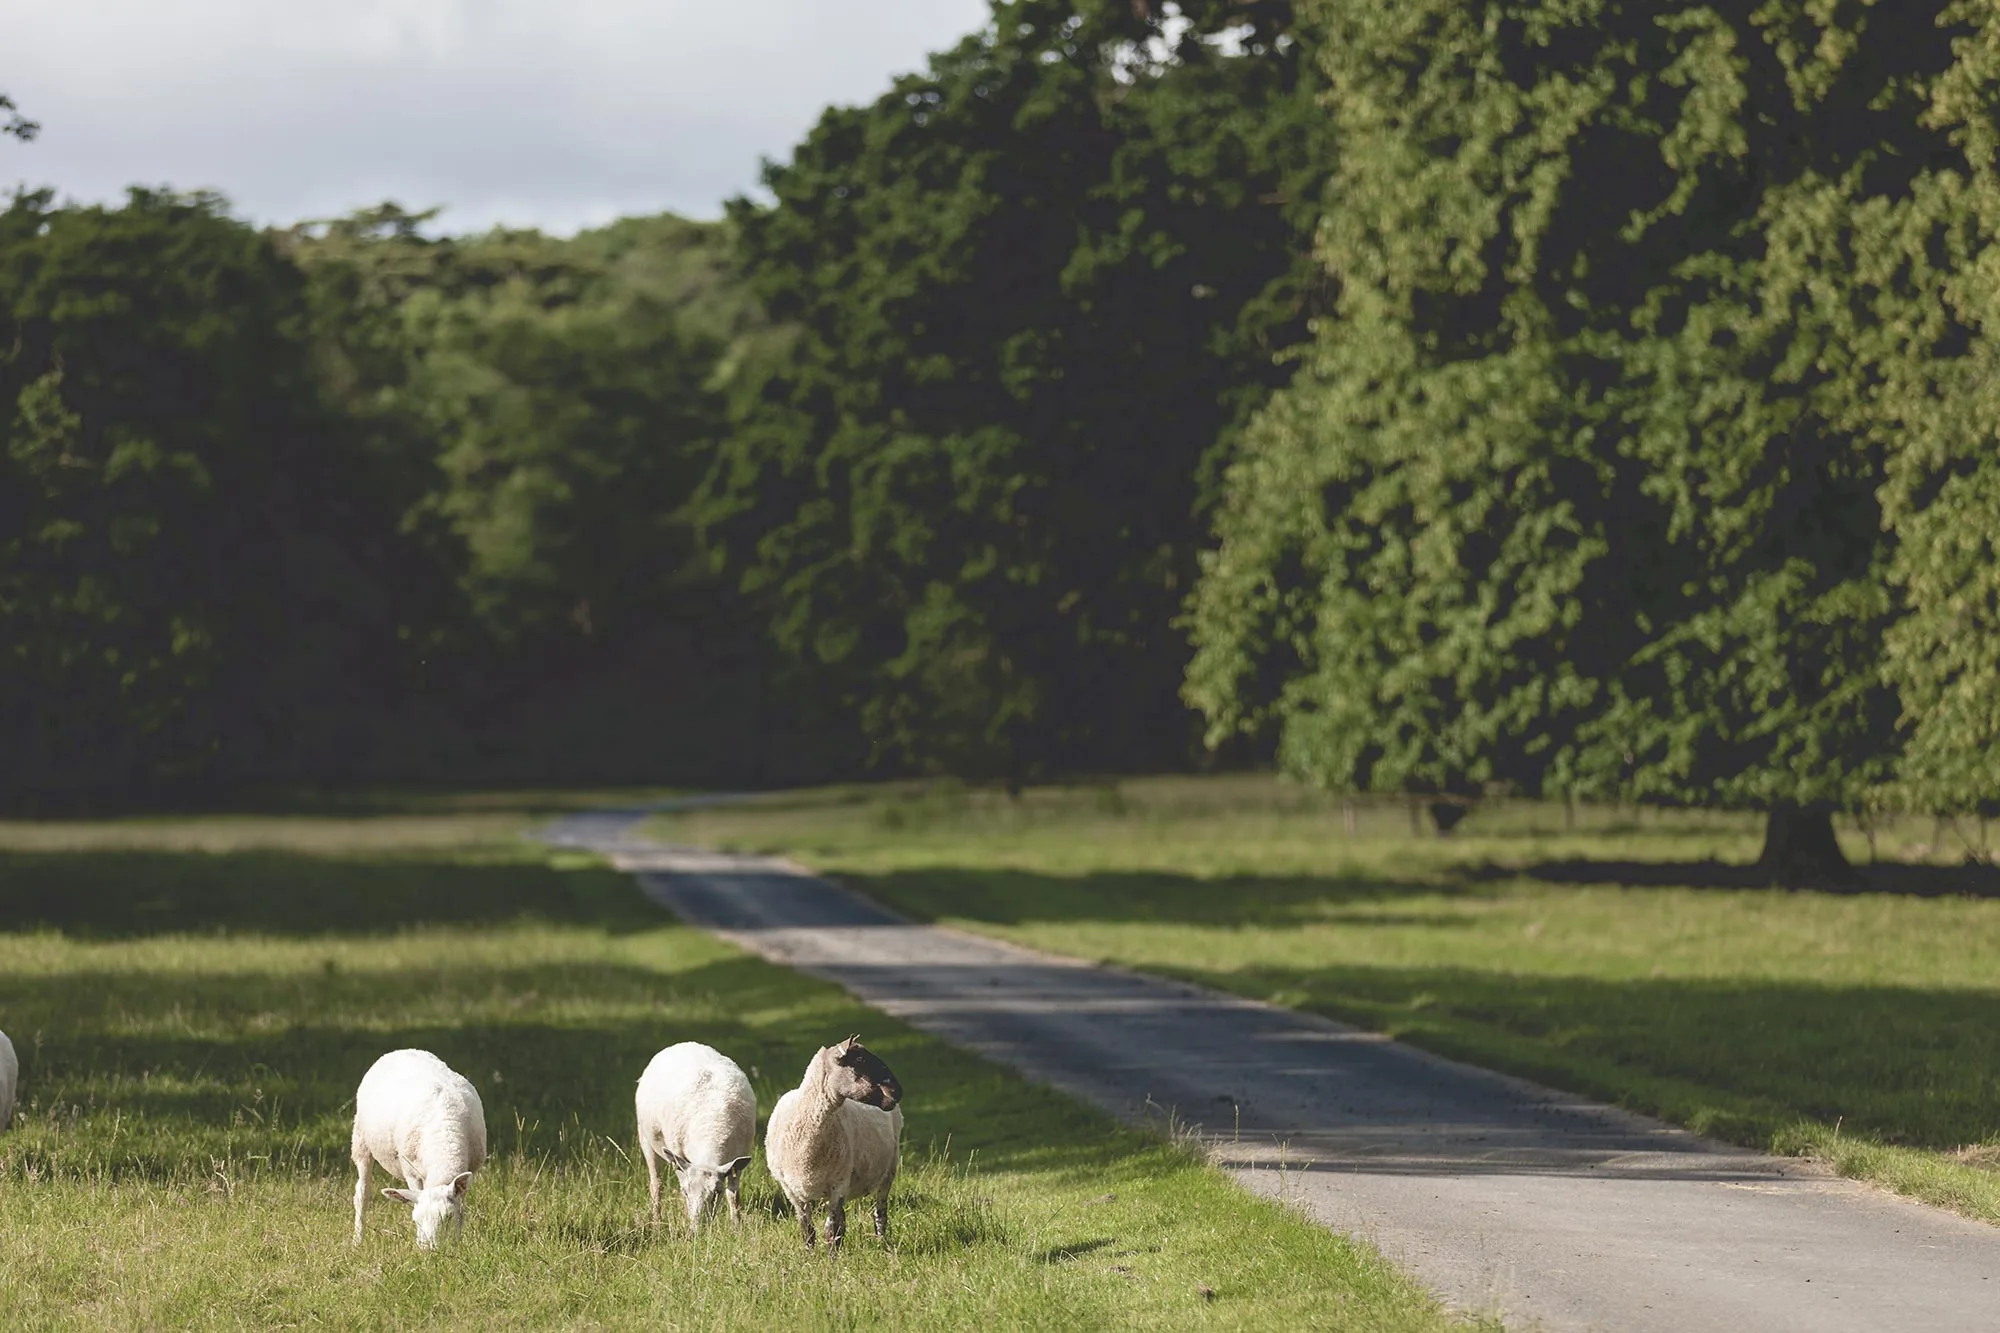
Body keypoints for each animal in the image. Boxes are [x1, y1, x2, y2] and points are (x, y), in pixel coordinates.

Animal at [350, 1049, 487, 1249]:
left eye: (448, 1217)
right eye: (416, 1221)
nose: (429, 1251)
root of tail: (401, 1050)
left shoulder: (470, 1172)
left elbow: (461, 1209)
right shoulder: (411, 1172)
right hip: (361, 1141)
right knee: (362, 1194)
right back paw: (357, 1240)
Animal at [635, 1041, 757, 1229]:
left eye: (717, 1192)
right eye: (686, 1192)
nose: (698, 1230)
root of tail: (681, 1044)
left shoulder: (738, 1158)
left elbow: (733, 1193)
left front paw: (736, 1226)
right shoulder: (677, 1155)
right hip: (645, 1138)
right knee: (656, 1184)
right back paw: (656, 1223)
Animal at [765, 1035, 903, 1252]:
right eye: (860, 1059)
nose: (898, 1091)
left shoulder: (838, 1184)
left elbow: (831, 1231)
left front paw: (833, 1259)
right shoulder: (792, 1192)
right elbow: (807, 1230)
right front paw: (809, 1256)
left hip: (888, 1171)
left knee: (880, 1214)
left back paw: (883, 1244)